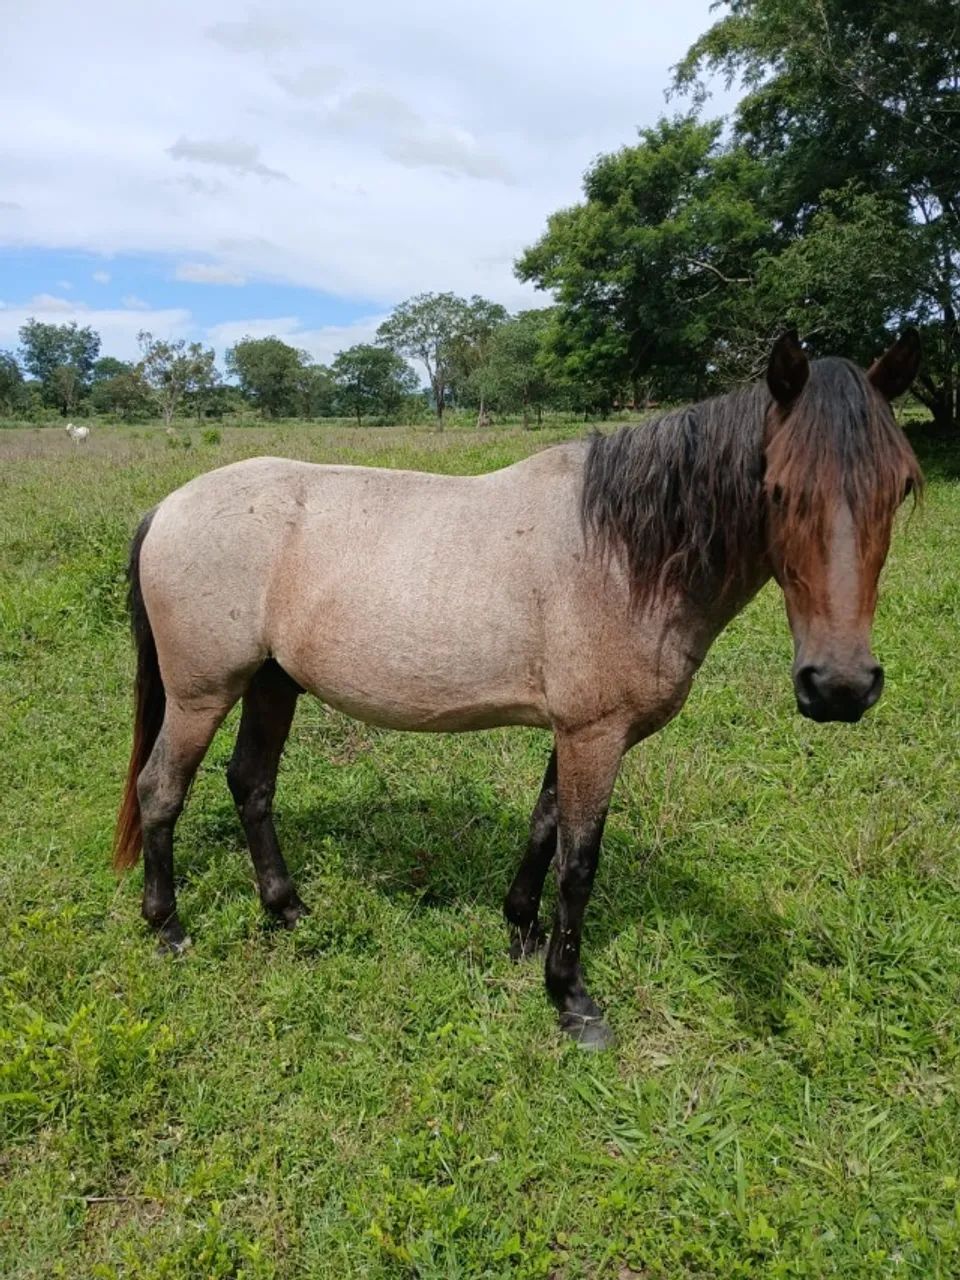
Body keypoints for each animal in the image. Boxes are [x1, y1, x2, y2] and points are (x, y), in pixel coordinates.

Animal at [113, 331, 922, 1048]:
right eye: (777, 489)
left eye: (900, 489)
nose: (840, 685)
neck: (621, 553)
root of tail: (168, 507)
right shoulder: (595, 734)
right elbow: (580, 861)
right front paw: (572, 1000)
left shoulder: (575, 730)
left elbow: (544, 827)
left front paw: (522, 933)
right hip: (202, 694)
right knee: (162, 790)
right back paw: (169, 927)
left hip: (272, 684)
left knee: (250, 784)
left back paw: (286, 910)